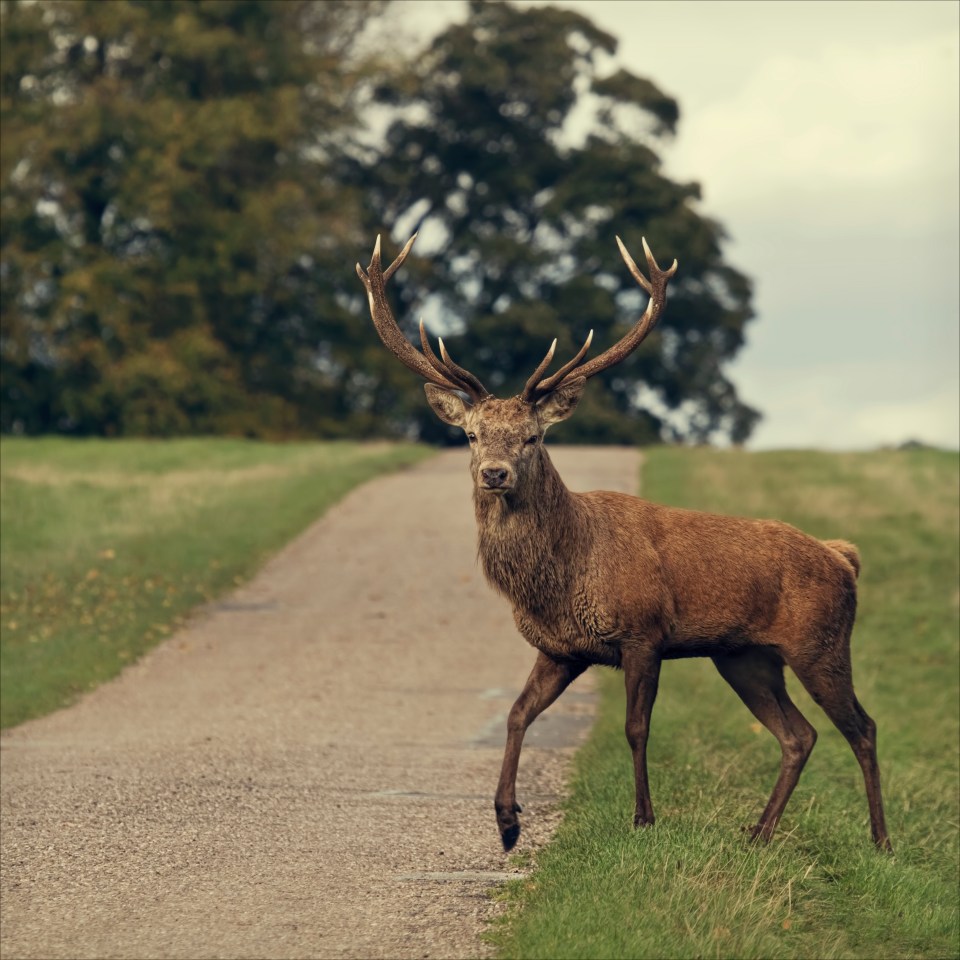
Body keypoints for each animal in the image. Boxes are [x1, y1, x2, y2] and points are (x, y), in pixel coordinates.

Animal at [354, 231, 892, 856]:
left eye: (533, 437)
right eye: (470, 435)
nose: (494, 473)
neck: (559, 580)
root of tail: (843, 557)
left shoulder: (643, 631)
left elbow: (636, 727)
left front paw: (643, 819)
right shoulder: (560, 649)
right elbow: (516, 714)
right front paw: (507, 822)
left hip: (820, 642)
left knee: (862, 726)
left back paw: (881, 842)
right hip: (744, 656)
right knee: (798, 734)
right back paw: (758, 833)